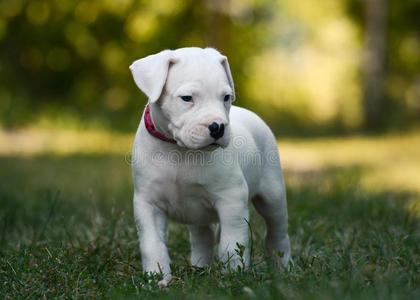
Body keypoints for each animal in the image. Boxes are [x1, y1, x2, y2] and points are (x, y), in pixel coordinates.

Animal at [130, 47, 290, 288]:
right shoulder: (147, 203)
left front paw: (233, 275)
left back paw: (283, 266)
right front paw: (156, 277)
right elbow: (152, 244)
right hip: (198, 214)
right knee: (201, 238)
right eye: (187, 98)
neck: (179, 150)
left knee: (277, 232)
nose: (218, 127)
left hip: (272, 196)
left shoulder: (231, 200)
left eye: (225, 97)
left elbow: (231, 243)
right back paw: (200, 269)